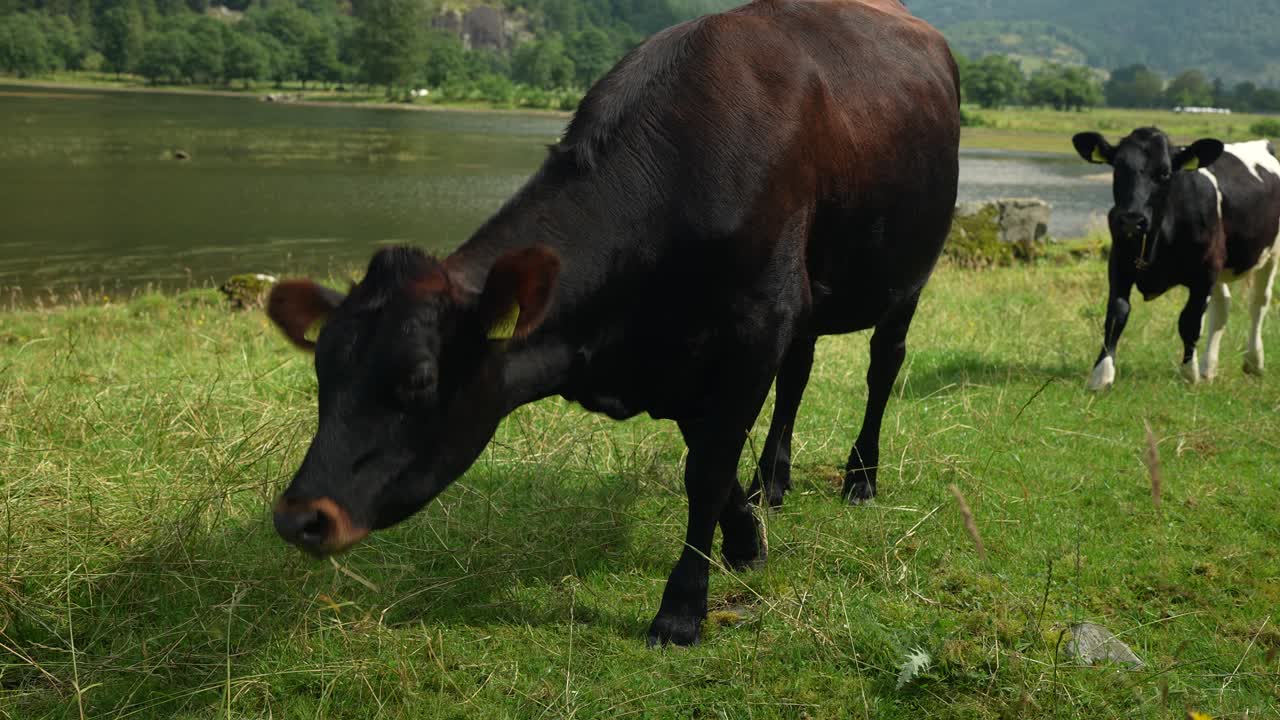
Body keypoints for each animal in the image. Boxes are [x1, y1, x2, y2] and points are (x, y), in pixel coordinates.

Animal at [266, 0, 960, 647]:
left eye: (417, 378)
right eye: (323, 371)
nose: (300, 516)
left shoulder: (759, 322)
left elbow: (707, 469)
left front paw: (682, 609)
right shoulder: (682, 351)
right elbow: (708, 453)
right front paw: (745, 540)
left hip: (909, 275)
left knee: (883, 366)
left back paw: (861, 478)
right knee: (799, 374)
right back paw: (774, 480)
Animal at [1073, 128, 1280, 390]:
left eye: (1165, 173)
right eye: (1118, 168)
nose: (1131, 220)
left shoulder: (1204, 272)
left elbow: (1189, 321)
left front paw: (1189, 373)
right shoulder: (1119, 262)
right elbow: (1116, 313)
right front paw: (1102, 374)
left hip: (1271, 252)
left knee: (1259, 301)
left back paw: (1253, 362)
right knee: (1222, 306)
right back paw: (1209, 369)